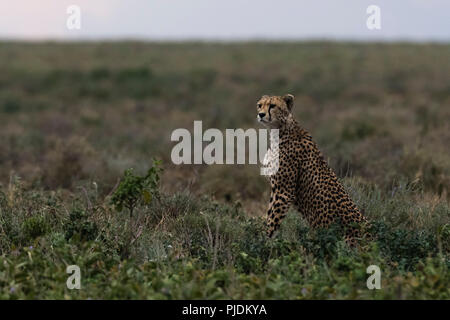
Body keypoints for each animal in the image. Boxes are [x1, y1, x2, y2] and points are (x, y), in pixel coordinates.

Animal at [255, 94, 370, 246]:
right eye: (260, 105)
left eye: (272, 106)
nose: (261, 114)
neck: (279, 130)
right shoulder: (278, 190)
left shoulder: (284, 192)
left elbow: (272, 220)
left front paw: (263, 241)